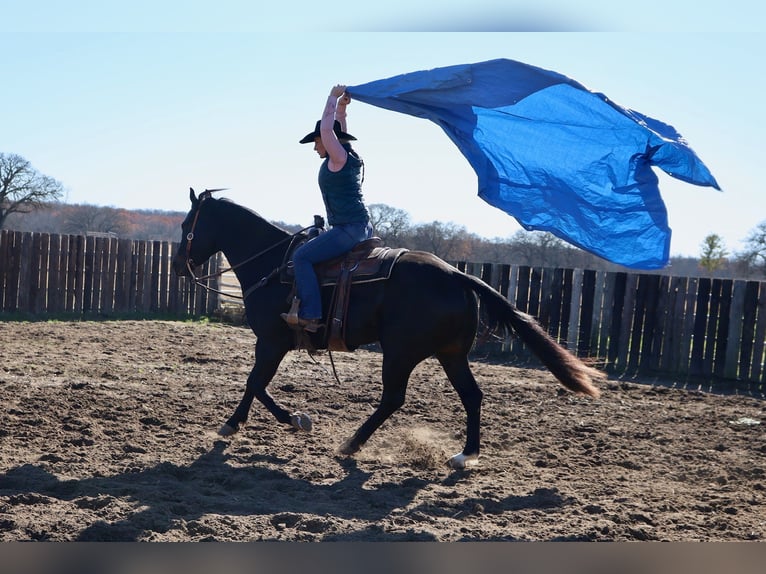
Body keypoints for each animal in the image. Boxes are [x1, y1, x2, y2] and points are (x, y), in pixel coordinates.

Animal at [174, 191, 608, 470]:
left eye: (185, 225)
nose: (179, 265)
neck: (274, 263)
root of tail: (456, 275)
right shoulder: (271, 343)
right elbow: (257, 383)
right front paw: (264, 421)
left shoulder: (272, 341)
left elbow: (255, 382)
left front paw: (274, 420)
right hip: (451, 354)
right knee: (472, 395)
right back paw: (465, 455)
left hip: (400, 352)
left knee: (393, 398)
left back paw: (351, 443)